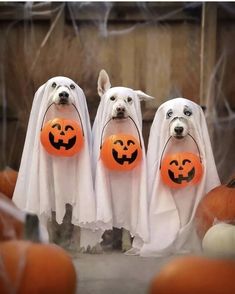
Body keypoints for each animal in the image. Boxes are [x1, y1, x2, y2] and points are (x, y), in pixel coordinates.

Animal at [92, 69, 153, 253]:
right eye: (112, 98)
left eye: (129, 100)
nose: (120, 109)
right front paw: (95, 244)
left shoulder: (129, 193)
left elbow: (126, 224)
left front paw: (126, 244)